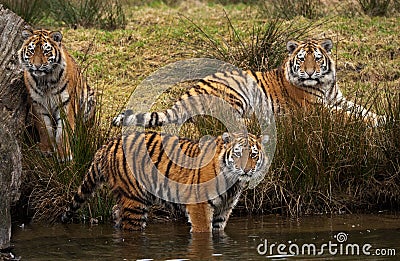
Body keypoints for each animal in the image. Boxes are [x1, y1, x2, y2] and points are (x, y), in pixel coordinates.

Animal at [19, 27, 96, 158]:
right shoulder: (38, 105)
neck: (45, 80)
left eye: (46, 51)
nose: (37, 66)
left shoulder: (66, 104)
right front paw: (46, 149)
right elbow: (45, 129)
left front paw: (64, 154)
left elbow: (63, 132)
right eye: (31, 51)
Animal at [61, 130, 268, 232]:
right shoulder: (199, 206)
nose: (246, 170)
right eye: (238, 154)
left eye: (253, 155)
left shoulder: (224, 209)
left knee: (115, 212)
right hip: (134, 200)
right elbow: (203, 232)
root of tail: (106, 145)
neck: (232, 182)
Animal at [111, 38, 382, 127]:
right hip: (236, 93)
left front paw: (383, 118)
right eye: (301, 59)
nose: (309, 74)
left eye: (316, 58)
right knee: (225, 120)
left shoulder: (338, 99)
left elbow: (361, 110)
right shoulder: (317, 109)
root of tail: (189, 90)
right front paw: (376, 122)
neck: (324, 85)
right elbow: (348, 116)